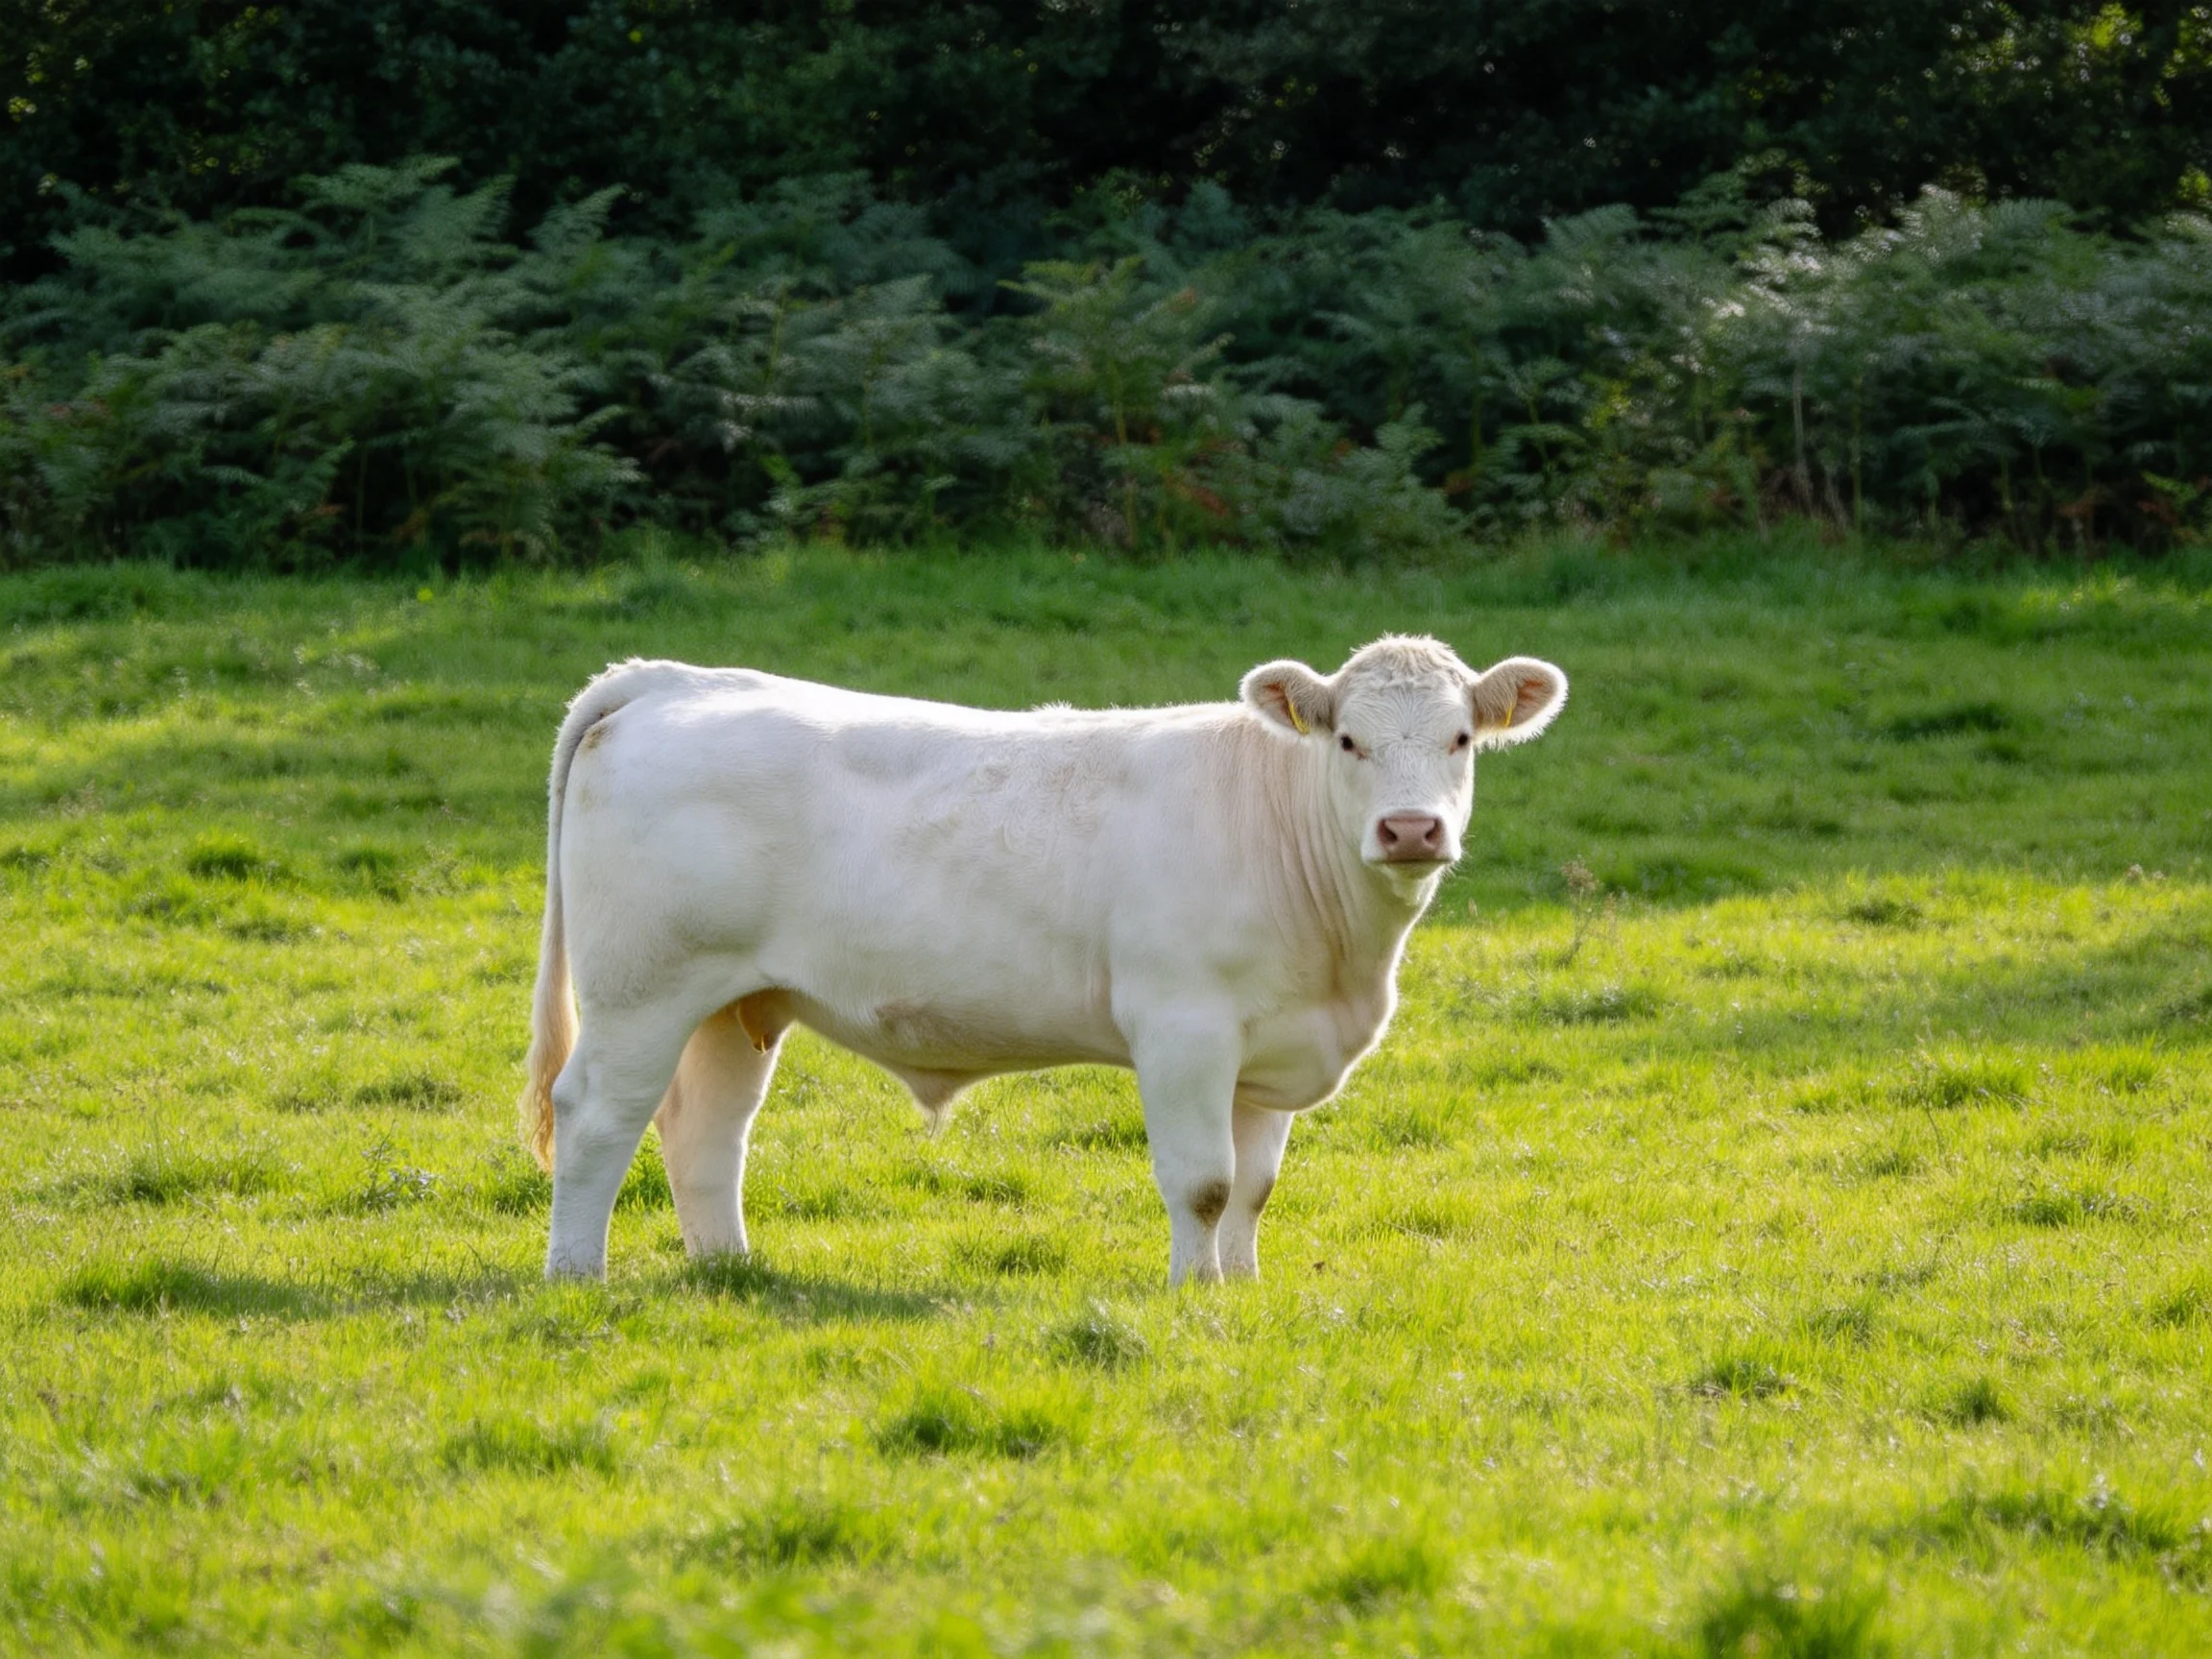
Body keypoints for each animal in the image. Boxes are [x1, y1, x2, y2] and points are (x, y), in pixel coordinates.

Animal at [519, 636, 1568, 1285]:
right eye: (1349, 740)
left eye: (1461, 739)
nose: (1411, 829)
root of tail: (673, 679)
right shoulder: (1182, 1028)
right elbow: (1203, 1179)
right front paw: (1193, 1296)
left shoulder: (1272, 1048)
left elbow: (1254, 1187)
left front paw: (1240, 1286)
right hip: (641, 988)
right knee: (598, 1116)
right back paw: (578, 1274)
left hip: (736, 1001)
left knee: (706, 1130)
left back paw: (730, 1271)